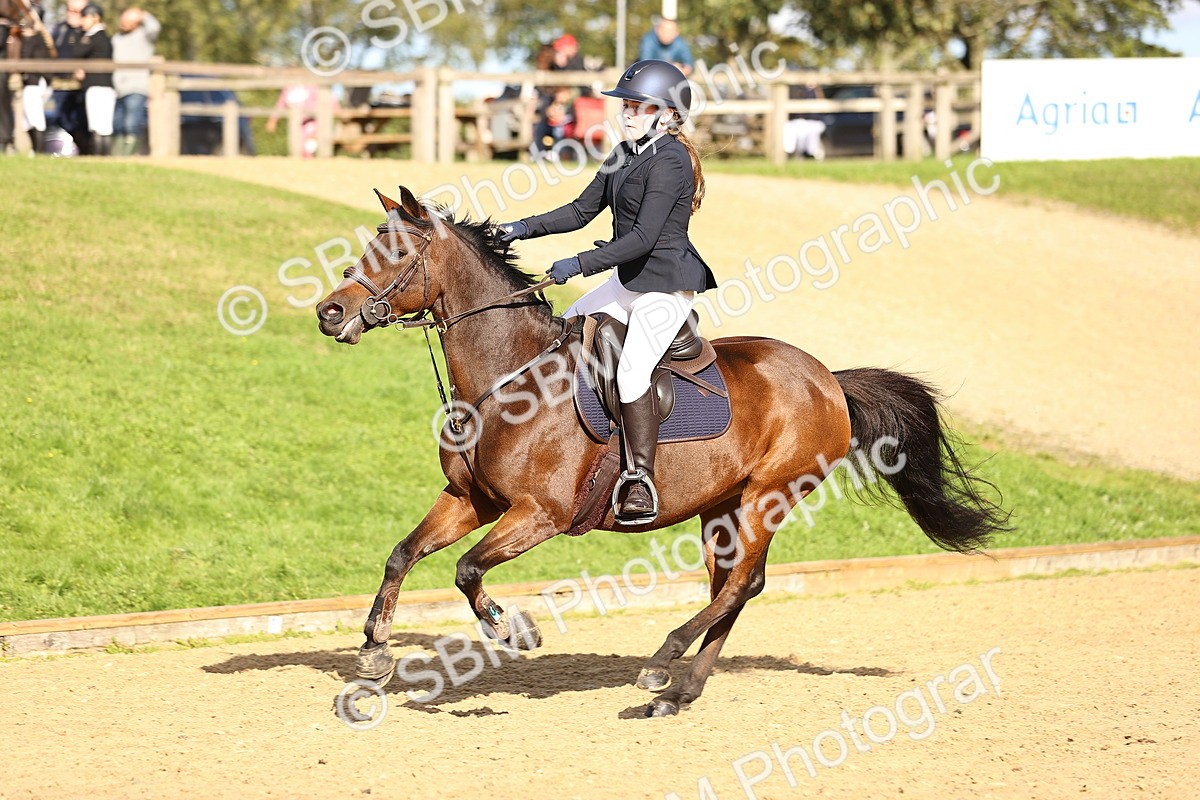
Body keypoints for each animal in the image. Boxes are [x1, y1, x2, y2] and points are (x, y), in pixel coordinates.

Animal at [314, 186, 1009, 717]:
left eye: (397, 253)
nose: (329, 312)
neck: (509, 378)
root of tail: (829, 380)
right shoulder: (471, 501)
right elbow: (402, 555)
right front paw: (374, 655)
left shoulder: (539, 514)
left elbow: (466, 571)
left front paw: (515, 628)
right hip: (722, 507)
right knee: (736, 585)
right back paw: (679, 692)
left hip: (769, 495)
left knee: (741, 585)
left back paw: (661, 663)